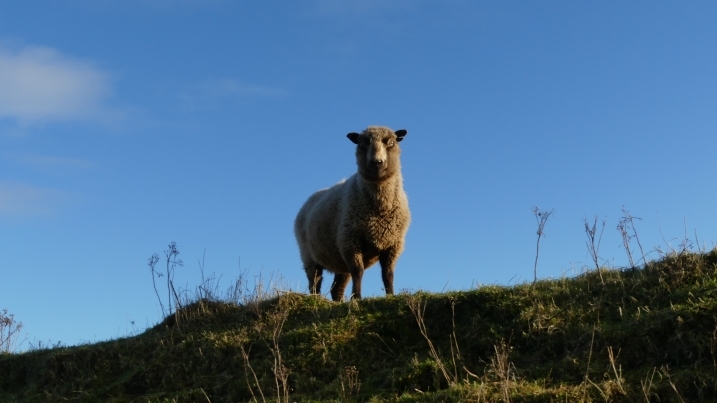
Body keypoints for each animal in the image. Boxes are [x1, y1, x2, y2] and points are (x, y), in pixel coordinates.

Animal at [294, 128, 412, 302]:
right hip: (309, 254)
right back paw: (316, 299)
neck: (379, 211)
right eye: (362, 143)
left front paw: (390, 296)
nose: (376, 162)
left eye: (391, 142)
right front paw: (357, 298)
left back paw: (339, 302)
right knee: (315, 281)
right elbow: (358, 271)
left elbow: (388, 274)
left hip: (339, 261)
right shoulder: (349, 241)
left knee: (336, 289)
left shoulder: (393, 244)